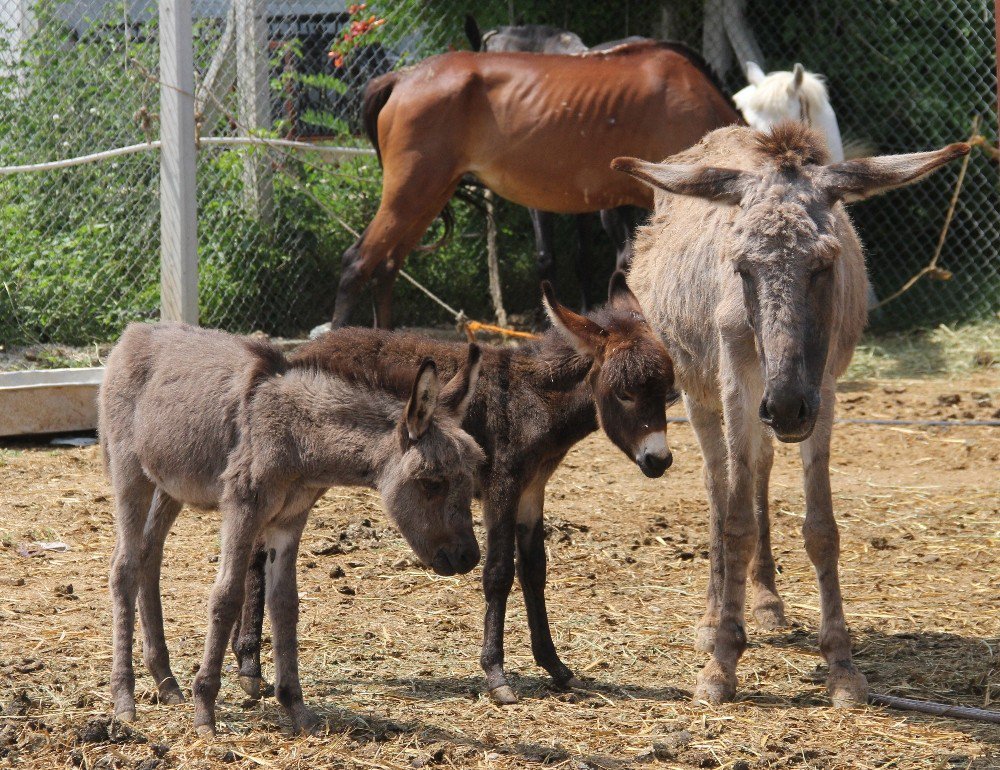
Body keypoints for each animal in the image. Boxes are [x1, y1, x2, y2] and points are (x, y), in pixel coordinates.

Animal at [100, 320, 484, 736]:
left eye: (471, 475)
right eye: (432, 482)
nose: (468, 557)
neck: (298, 436)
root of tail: (134, 332)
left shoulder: (289, 520)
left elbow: (285, 602)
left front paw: (296, 708)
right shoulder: (242, 508)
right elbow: (227, 596)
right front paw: (205, 711)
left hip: (170, 485)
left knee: (148, 557)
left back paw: (166, 682)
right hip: (131, 473)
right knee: (124, 568)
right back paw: (124, 698)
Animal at [230, 272, 676, 704]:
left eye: (668, 394)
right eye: (625, 393)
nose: (660, 460)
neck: (533, 399)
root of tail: (293, 359)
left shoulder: (532, 491)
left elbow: (535, 570)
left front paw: (555, 666)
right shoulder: (502, 488)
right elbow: (499, 572)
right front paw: (496, 676)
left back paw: (243, 658)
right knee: (256, 551)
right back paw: (250, 667)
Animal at [620, 123, 964, 704]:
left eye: (823, 264)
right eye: (741, 268)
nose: (785, 408)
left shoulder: (822, 389)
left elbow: (821, 527)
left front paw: (842, 665)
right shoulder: (738, 383)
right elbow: (735, 521)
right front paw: (722, 662)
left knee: (758, 470)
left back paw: (764, 601)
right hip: (697, 390)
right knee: (718, 484)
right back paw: (713, 617)